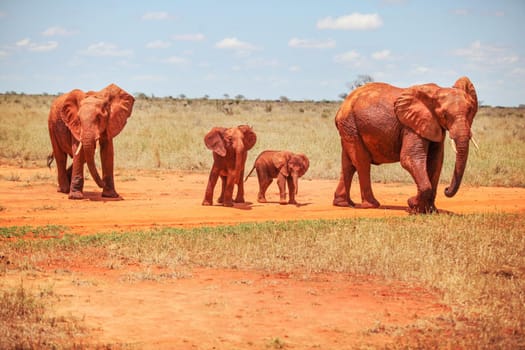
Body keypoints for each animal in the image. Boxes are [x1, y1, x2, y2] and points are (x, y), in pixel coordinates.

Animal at [334, 77, 476, 213]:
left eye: (470, 111)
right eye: (444, 115)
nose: (446, 189)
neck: (437, 92)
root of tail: (342, 105)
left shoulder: (433, 125)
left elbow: (435, 162)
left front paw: (430, 211)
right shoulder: (411, 125)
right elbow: (410, 158)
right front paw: (413, 205)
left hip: (348, 127)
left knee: (348, 164)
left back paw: (344, 204)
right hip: (350, 124)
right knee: (361, 162)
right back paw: (371, 205)